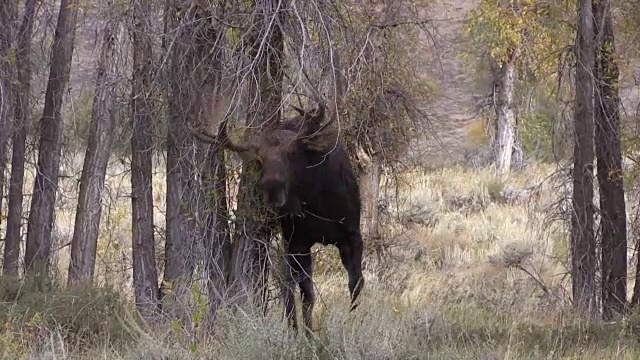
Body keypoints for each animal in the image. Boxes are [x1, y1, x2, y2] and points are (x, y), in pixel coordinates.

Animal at [191, 95, 364, 334]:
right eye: (260, 159)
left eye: (292, 153)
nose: (272, 187)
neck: (318, 203)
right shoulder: (297, 242)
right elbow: (306, 294)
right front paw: (307, 335)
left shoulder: (352, 235)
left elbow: (356, 283)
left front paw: (352, 323)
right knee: (286, 287)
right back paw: (292, 327)